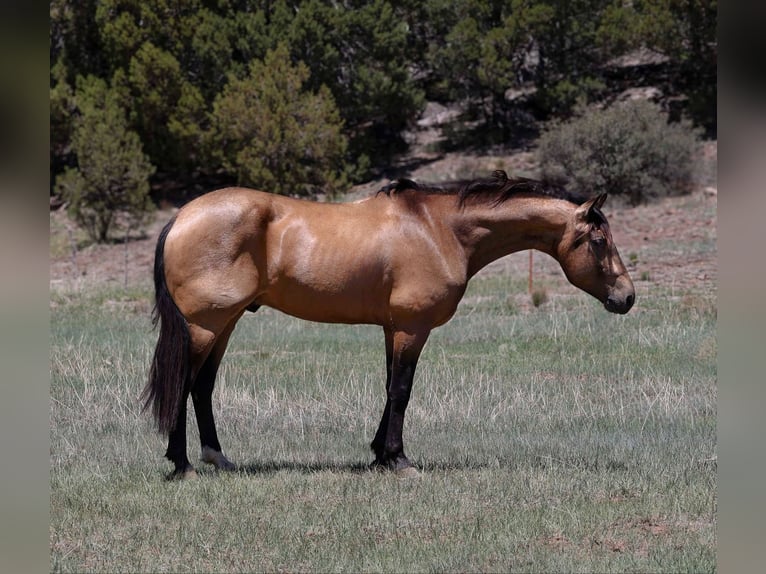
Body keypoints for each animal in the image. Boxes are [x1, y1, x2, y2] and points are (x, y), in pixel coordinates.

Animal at [141, 169, 635, 479]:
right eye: (599, 239)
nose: (627, 297)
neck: (439, 230)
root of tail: (181, 216)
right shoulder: (412, 328)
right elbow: (401, 390)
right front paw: (398, 460)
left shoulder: (391, 328)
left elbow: (387, 388)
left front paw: (379, 455)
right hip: (205, 326)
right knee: (183, 381)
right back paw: (182, 463)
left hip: (224, 324)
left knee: (202, 385)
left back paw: (217, 458)